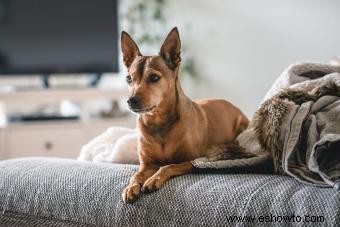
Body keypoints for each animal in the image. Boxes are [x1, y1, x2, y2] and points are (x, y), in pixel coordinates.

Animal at [121, 26, 248, 202]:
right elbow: (136, 175)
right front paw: (130, 187)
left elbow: (168, 166)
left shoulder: (192, 161)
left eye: (154, 77)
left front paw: (154, 179)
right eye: (128, 78)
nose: (130, 100)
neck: (158, 120)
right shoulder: (146, 165)